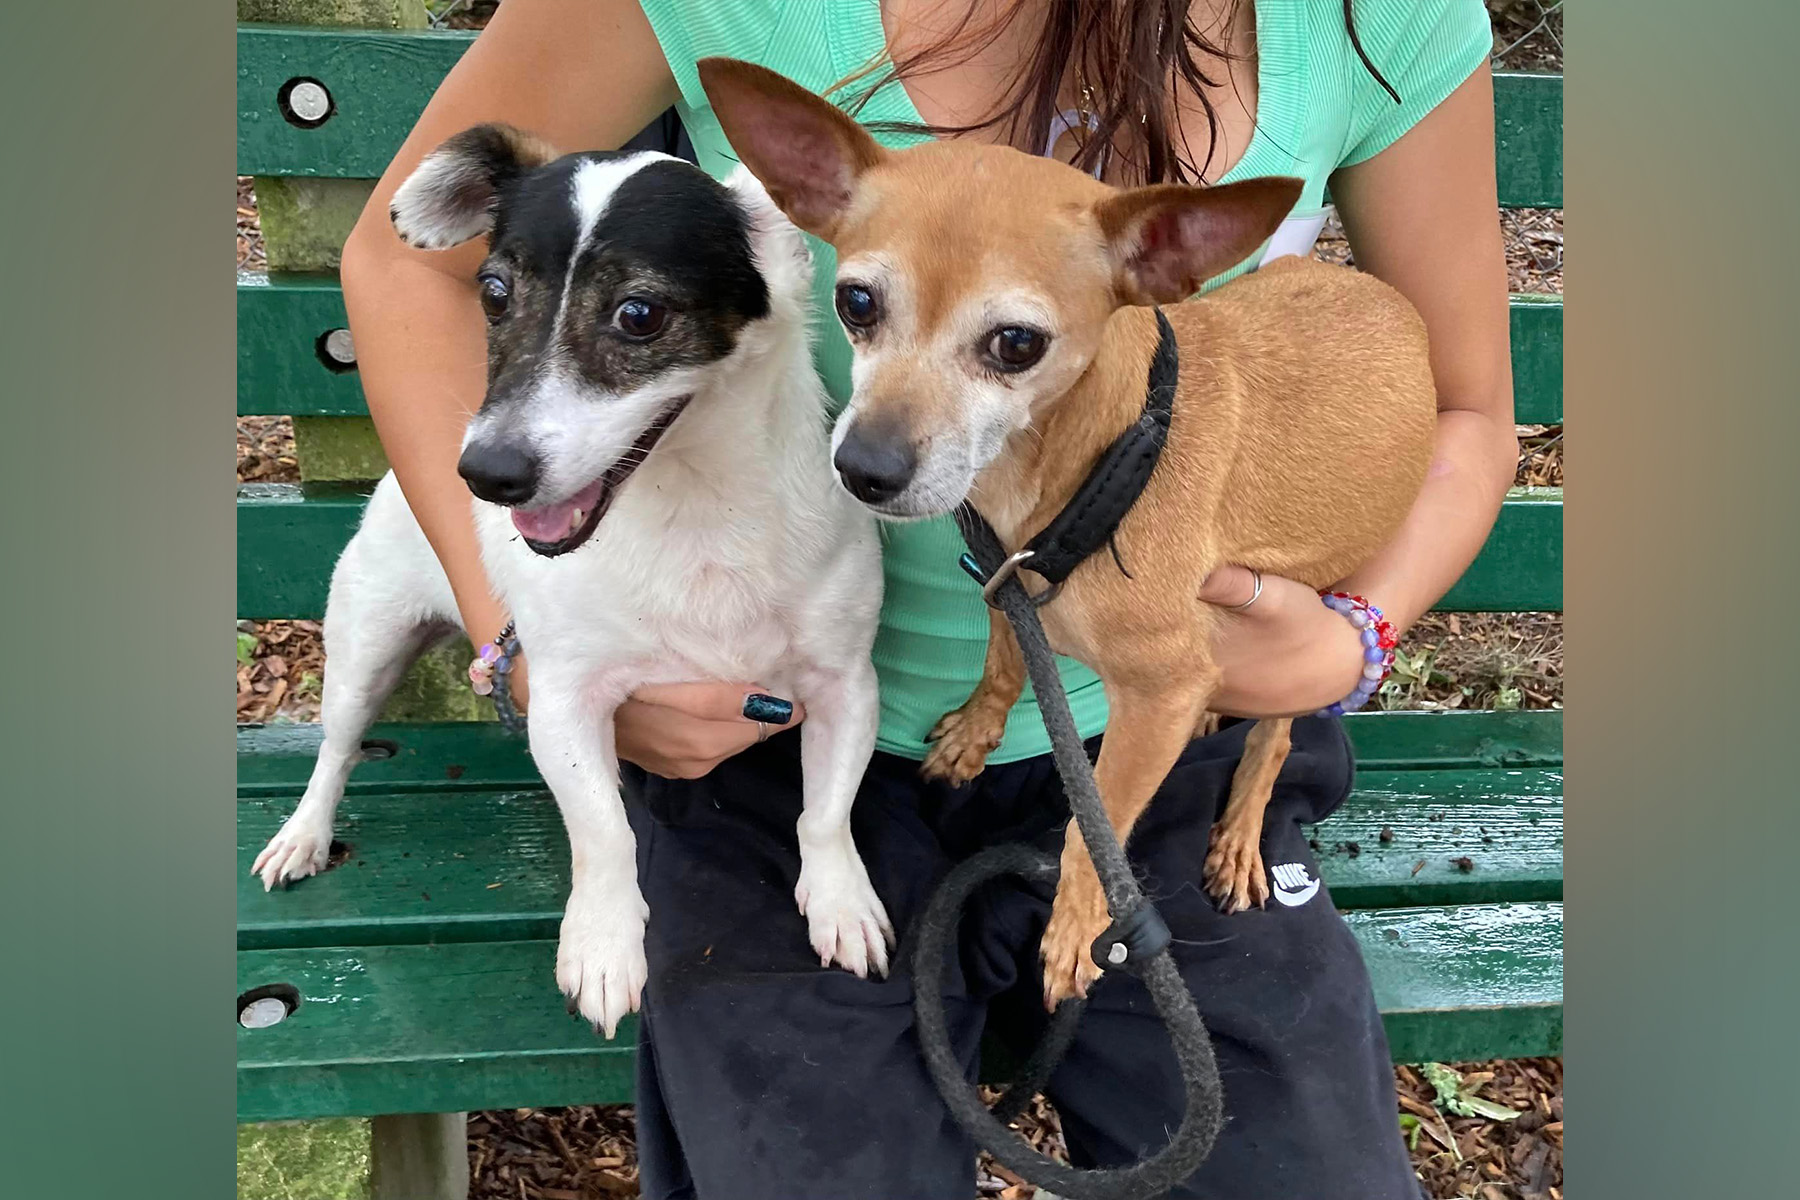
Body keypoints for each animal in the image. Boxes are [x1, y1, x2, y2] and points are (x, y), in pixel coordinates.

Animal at [250, 126, 896, 1036]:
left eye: (639, 314)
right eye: (492, 294)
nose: (486, 474)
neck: (697, 512)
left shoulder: (845, 686)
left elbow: (825, 811)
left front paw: (840, 899)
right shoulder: (562, 702)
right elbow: (604, 832)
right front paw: (602, 943)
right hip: (363, 650)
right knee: (336, 750)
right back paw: (303, 835)